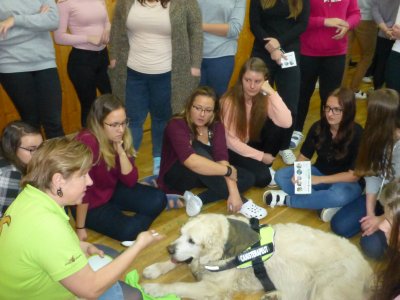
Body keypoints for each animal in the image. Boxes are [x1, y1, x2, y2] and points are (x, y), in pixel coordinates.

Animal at [143, 214, 372, 298]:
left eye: (192, 241)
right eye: (181, 234)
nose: (169, 249)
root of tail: (366, 265)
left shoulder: (213, 287)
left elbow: (178, 285)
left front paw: (153, 289)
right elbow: (176, 263)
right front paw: (155, 268)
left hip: (326, 289)